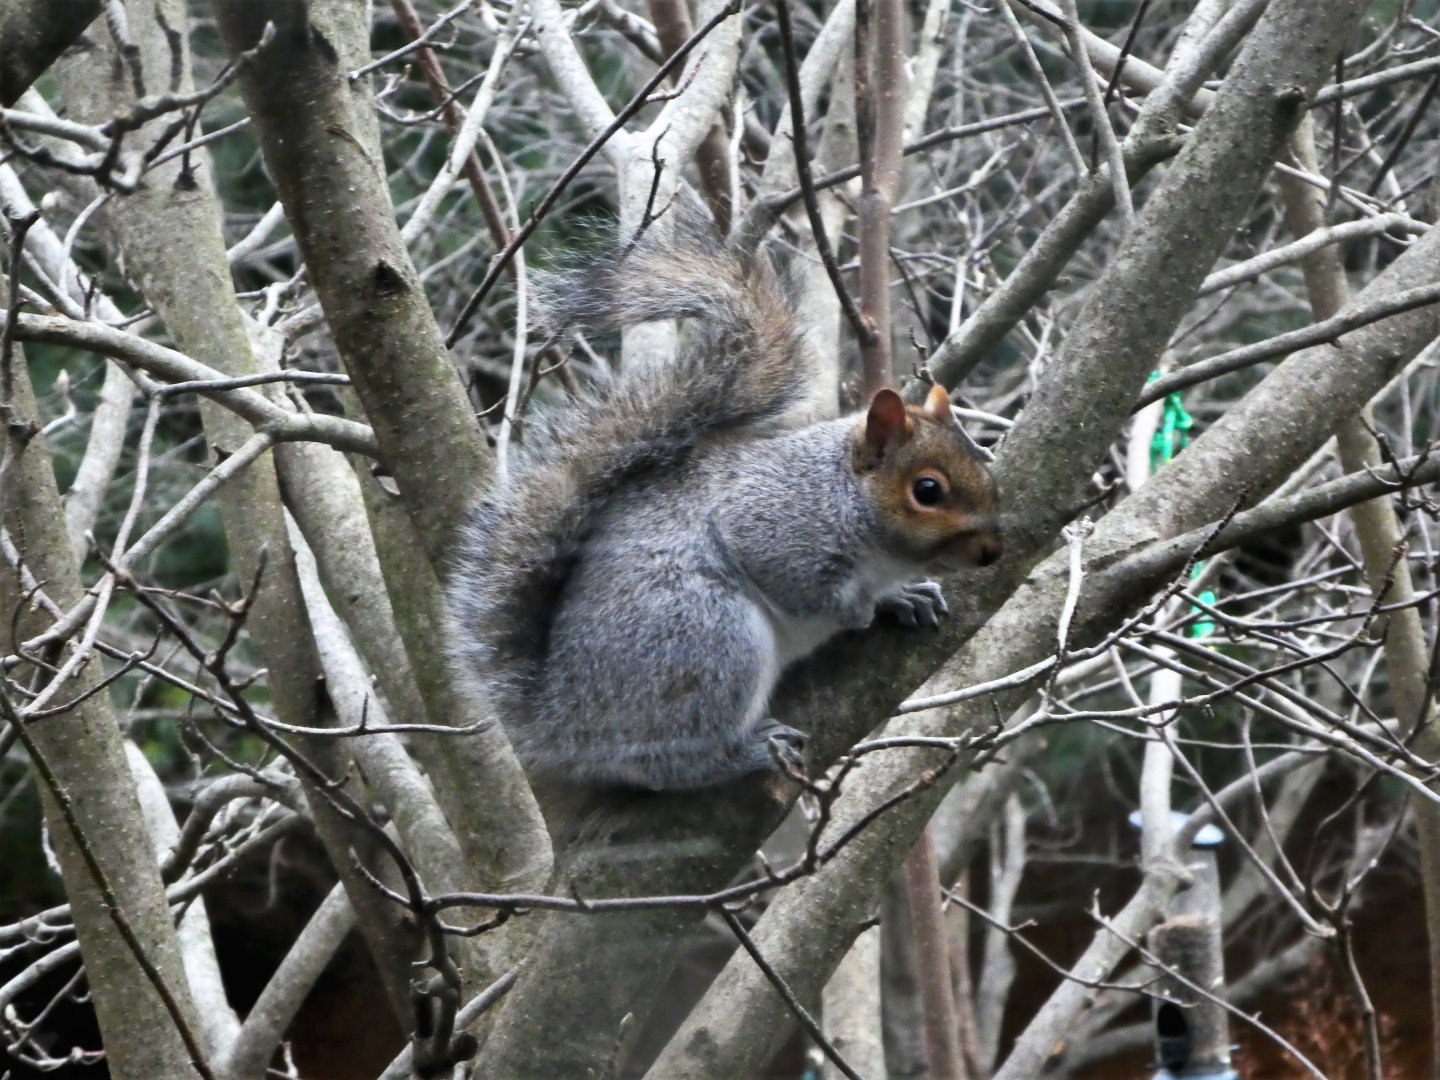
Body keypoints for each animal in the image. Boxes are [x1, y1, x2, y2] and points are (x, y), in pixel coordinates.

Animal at [447, 215, 1003, 794]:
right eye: (927, 491)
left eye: (982, 460)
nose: (993, 550)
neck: (841, 492)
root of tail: (564, 722)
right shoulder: (775, 522)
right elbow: (800, 584)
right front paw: (858, 609)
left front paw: (904, 596)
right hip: (706, 637)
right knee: (668, 760)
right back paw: (745, 752)